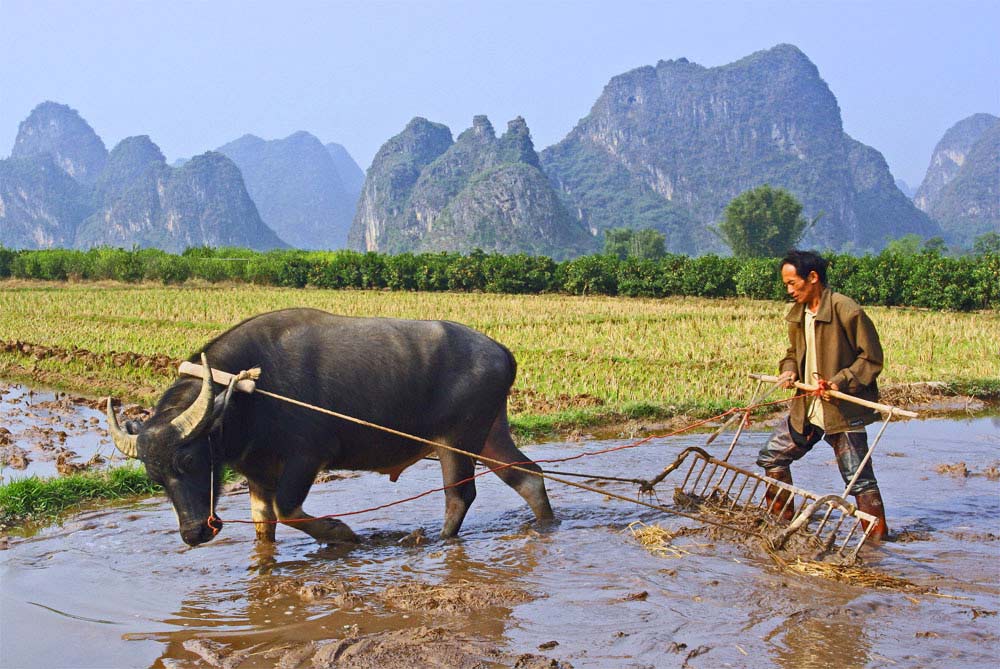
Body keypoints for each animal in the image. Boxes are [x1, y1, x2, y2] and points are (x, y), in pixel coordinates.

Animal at [107, 310, 556, 544]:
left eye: (189, 461)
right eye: (155, 477)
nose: (194, 533)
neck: (249, 395)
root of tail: (502, 352)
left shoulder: (307, 457)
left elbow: (288, 509)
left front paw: (342, 533)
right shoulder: (258, 472)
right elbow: (264, 524)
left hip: (456, 439)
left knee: (459, 496)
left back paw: (434, 540)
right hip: (489, 432)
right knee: (526, 475)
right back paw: (546, 523)